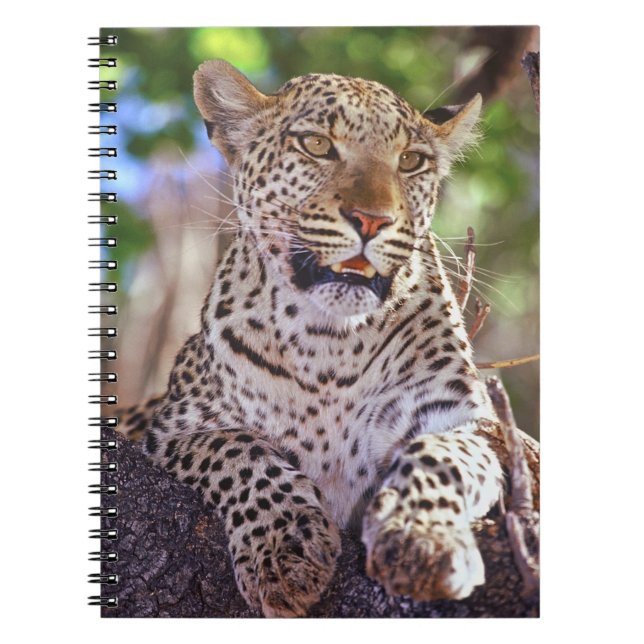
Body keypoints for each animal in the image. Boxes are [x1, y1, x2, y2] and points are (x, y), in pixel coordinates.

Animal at [118, 59, 505, 617]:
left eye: (411, 161)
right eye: (317, 145)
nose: (373, 220)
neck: (331, 343)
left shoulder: (466, 422)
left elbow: (440, 457)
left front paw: (420, 539)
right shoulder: (176, 429)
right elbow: (241, 452)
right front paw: (284, 548)